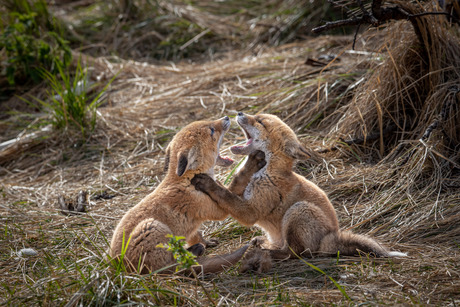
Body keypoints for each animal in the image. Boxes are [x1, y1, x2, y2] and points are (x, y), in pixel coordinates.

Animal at [110, 117, 252, 274]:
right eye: (211, 130)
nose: (226, 118)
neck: (185, 180)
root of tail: (118, 268)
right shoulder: (213, 208)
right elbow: (228, 192)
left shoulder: (195, 224)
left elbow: (197, 235)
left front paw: (206, 242)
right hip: (152, 228)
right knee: (171, 268)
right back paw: (193, 254)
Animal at [192, 114, 404, 274]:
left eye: (260, 122)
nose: (239, 113)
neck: (266, 172)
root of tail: (331, 238)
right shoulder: (241, 191)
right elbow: (234, 184)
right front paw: (248, 165)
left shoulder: (251, 211)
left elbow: (225, 195)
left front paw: (207, 182)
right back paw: (264, 244)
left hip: (298, 211)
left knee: (295, 253)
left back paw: (266, 253)